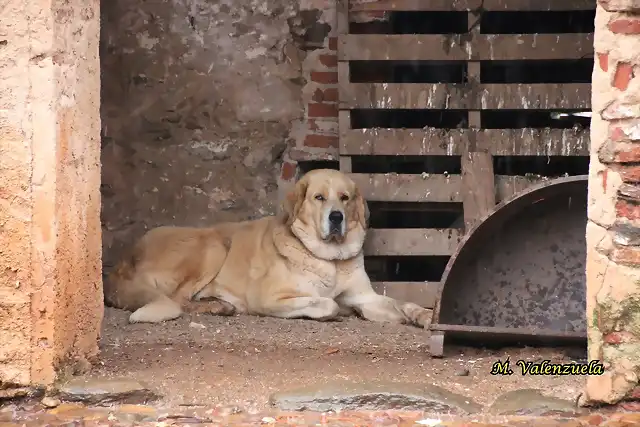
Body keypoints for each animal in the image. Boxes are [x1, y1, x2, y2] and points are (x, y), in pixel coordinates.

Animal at [104, 169, 436, 330]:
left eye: (345, 198)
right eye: (319, 197)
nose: (336, 217)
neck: (329, 259)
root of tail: (120, 264)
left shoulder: (365, 298)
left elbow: (402, 305)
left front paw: (424, 316)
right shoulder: (268, 298)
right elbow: (326, 303)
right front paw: (332, 310)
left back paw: (218, 304)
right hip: (213, 245)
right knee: (177, 300)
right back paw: (219, 306)